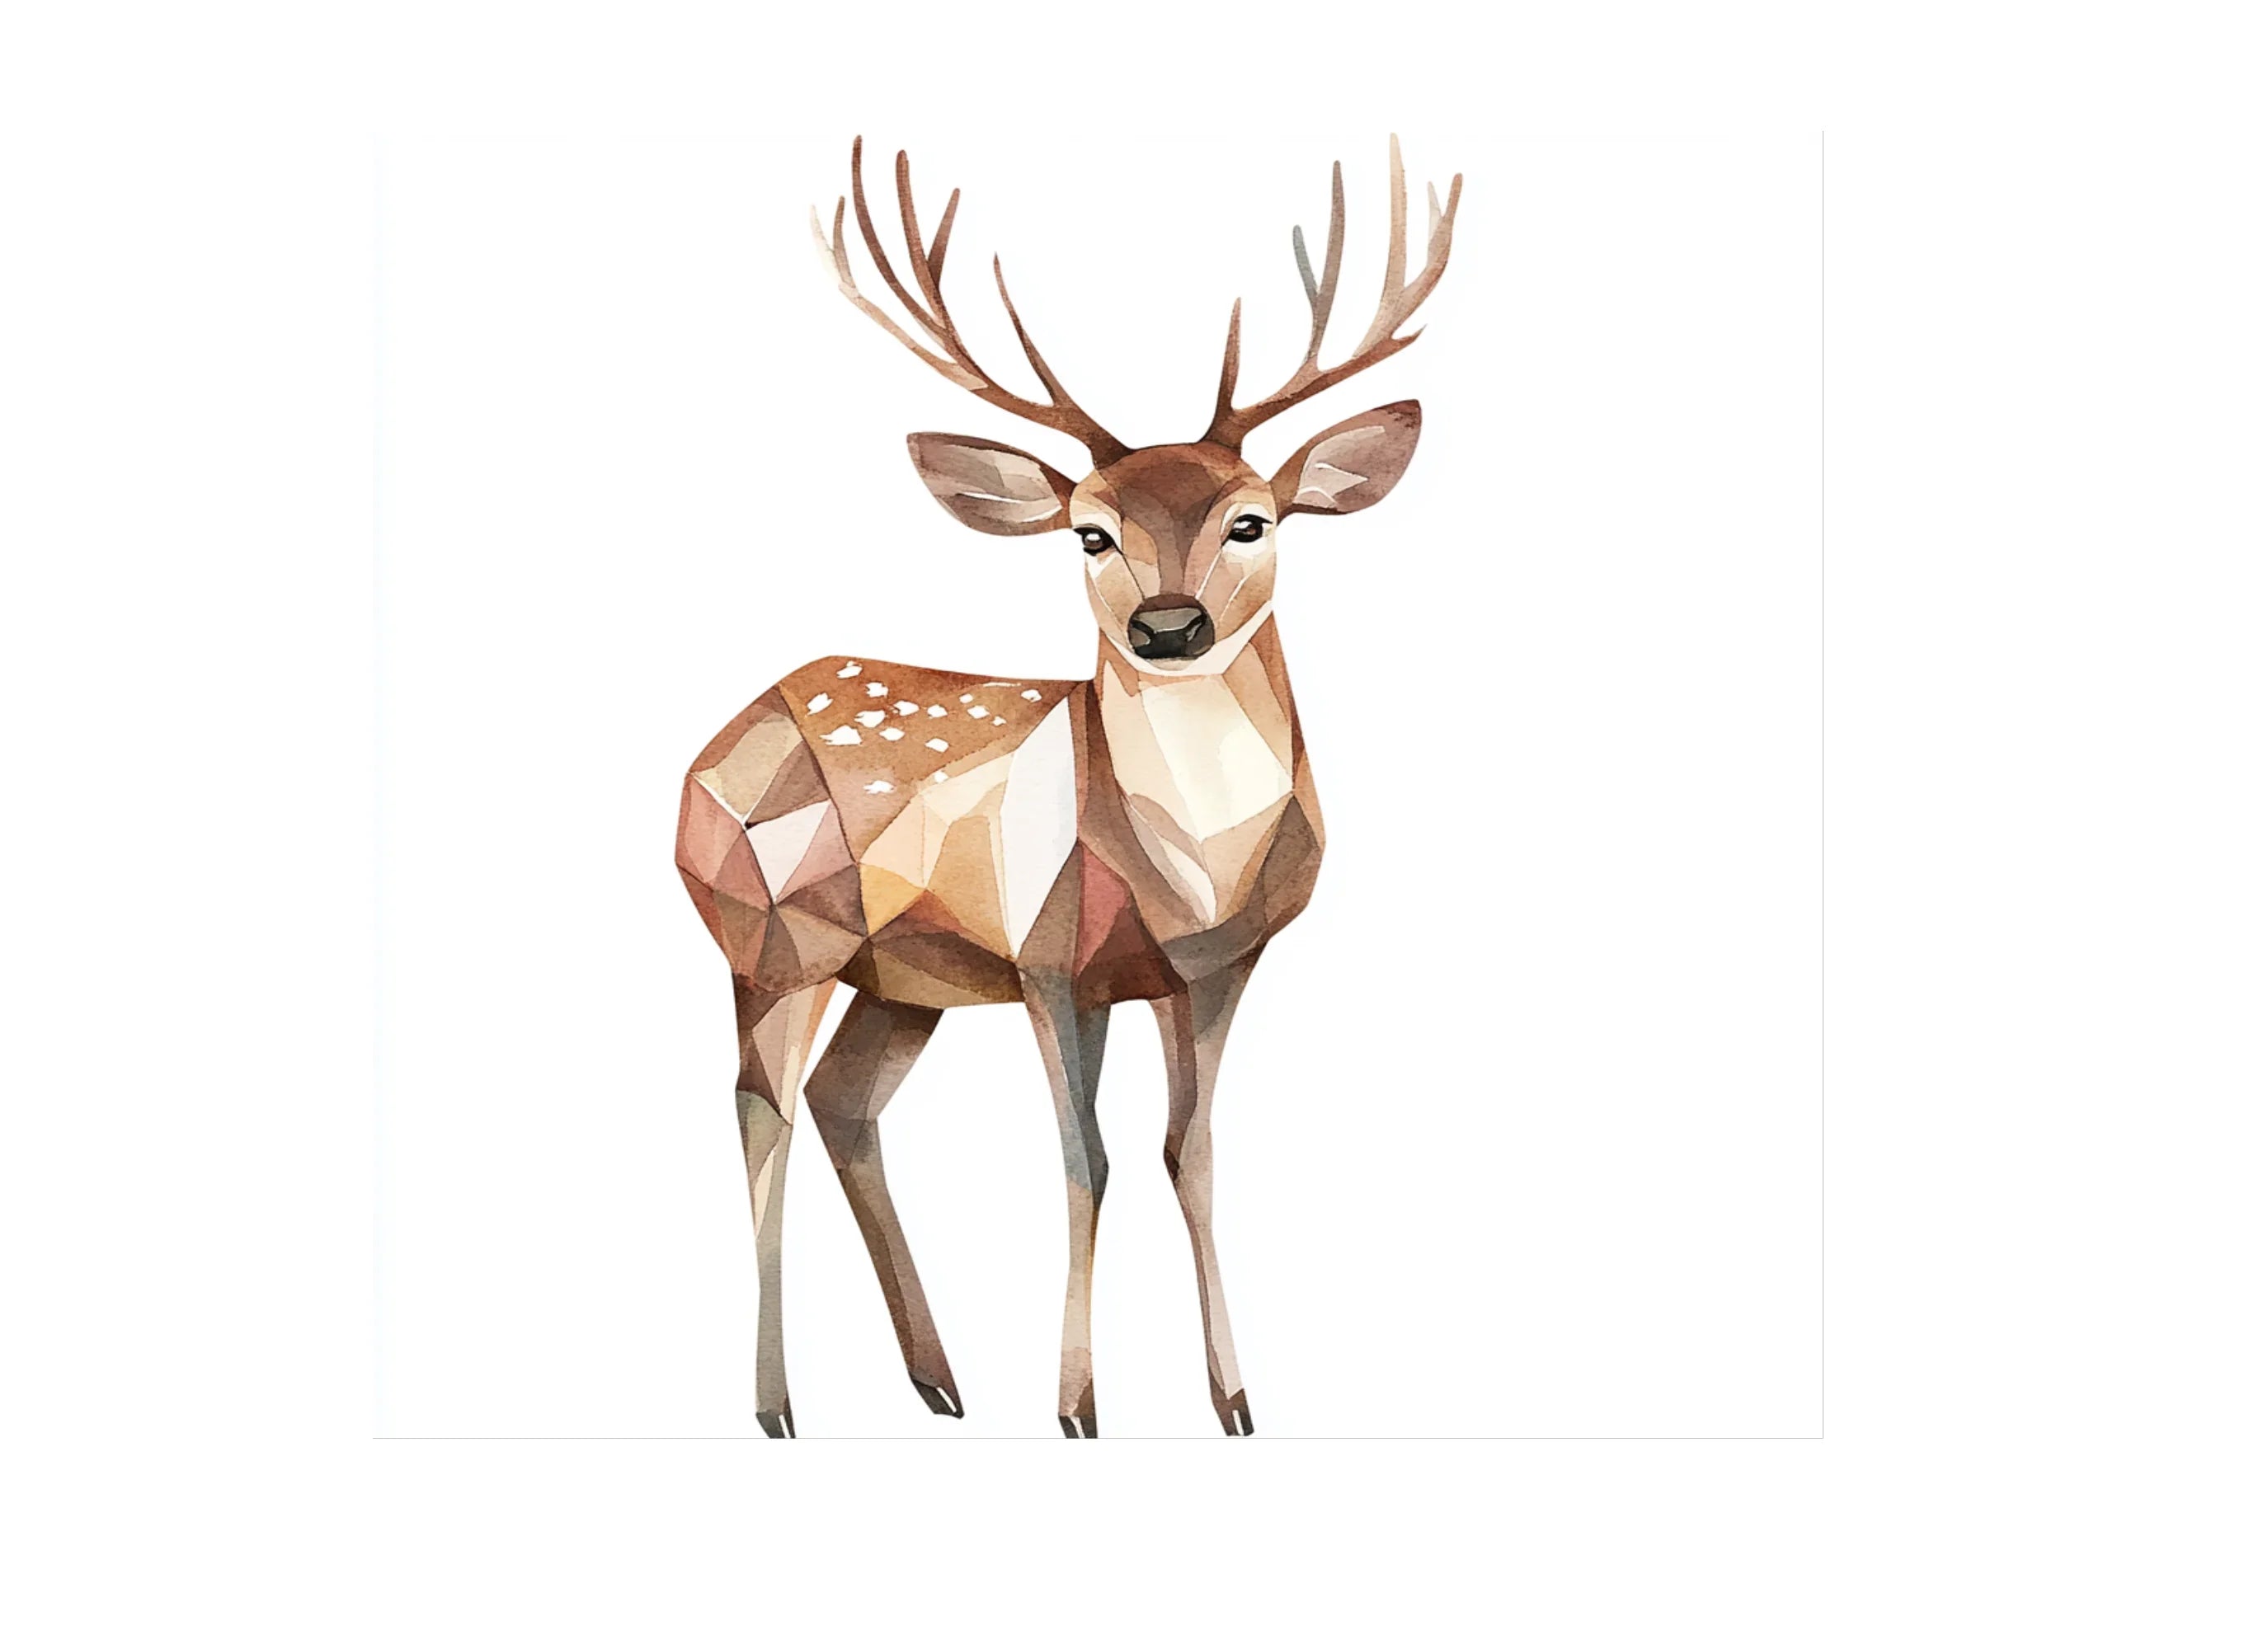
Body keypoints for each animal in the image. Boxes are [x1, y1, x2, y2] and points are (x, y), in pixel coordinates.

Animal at [675, 135, 1460, 1437]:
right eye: (1088, 534)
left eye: (1253, 519)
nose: (1168, 626)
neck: (1189, 873)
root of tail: (708, 745)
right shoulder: (1050, 958)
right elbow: (1083, 1158)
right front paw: (1079, 1405)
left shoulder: (1215, 968)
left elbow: (1189, 1153)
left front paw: (1233, 1400)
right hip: (770, 935)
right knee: (757, 1110)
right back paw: (779, 1404)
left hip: (907, 977)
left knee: (844, 1105)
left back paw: (939, 1382)